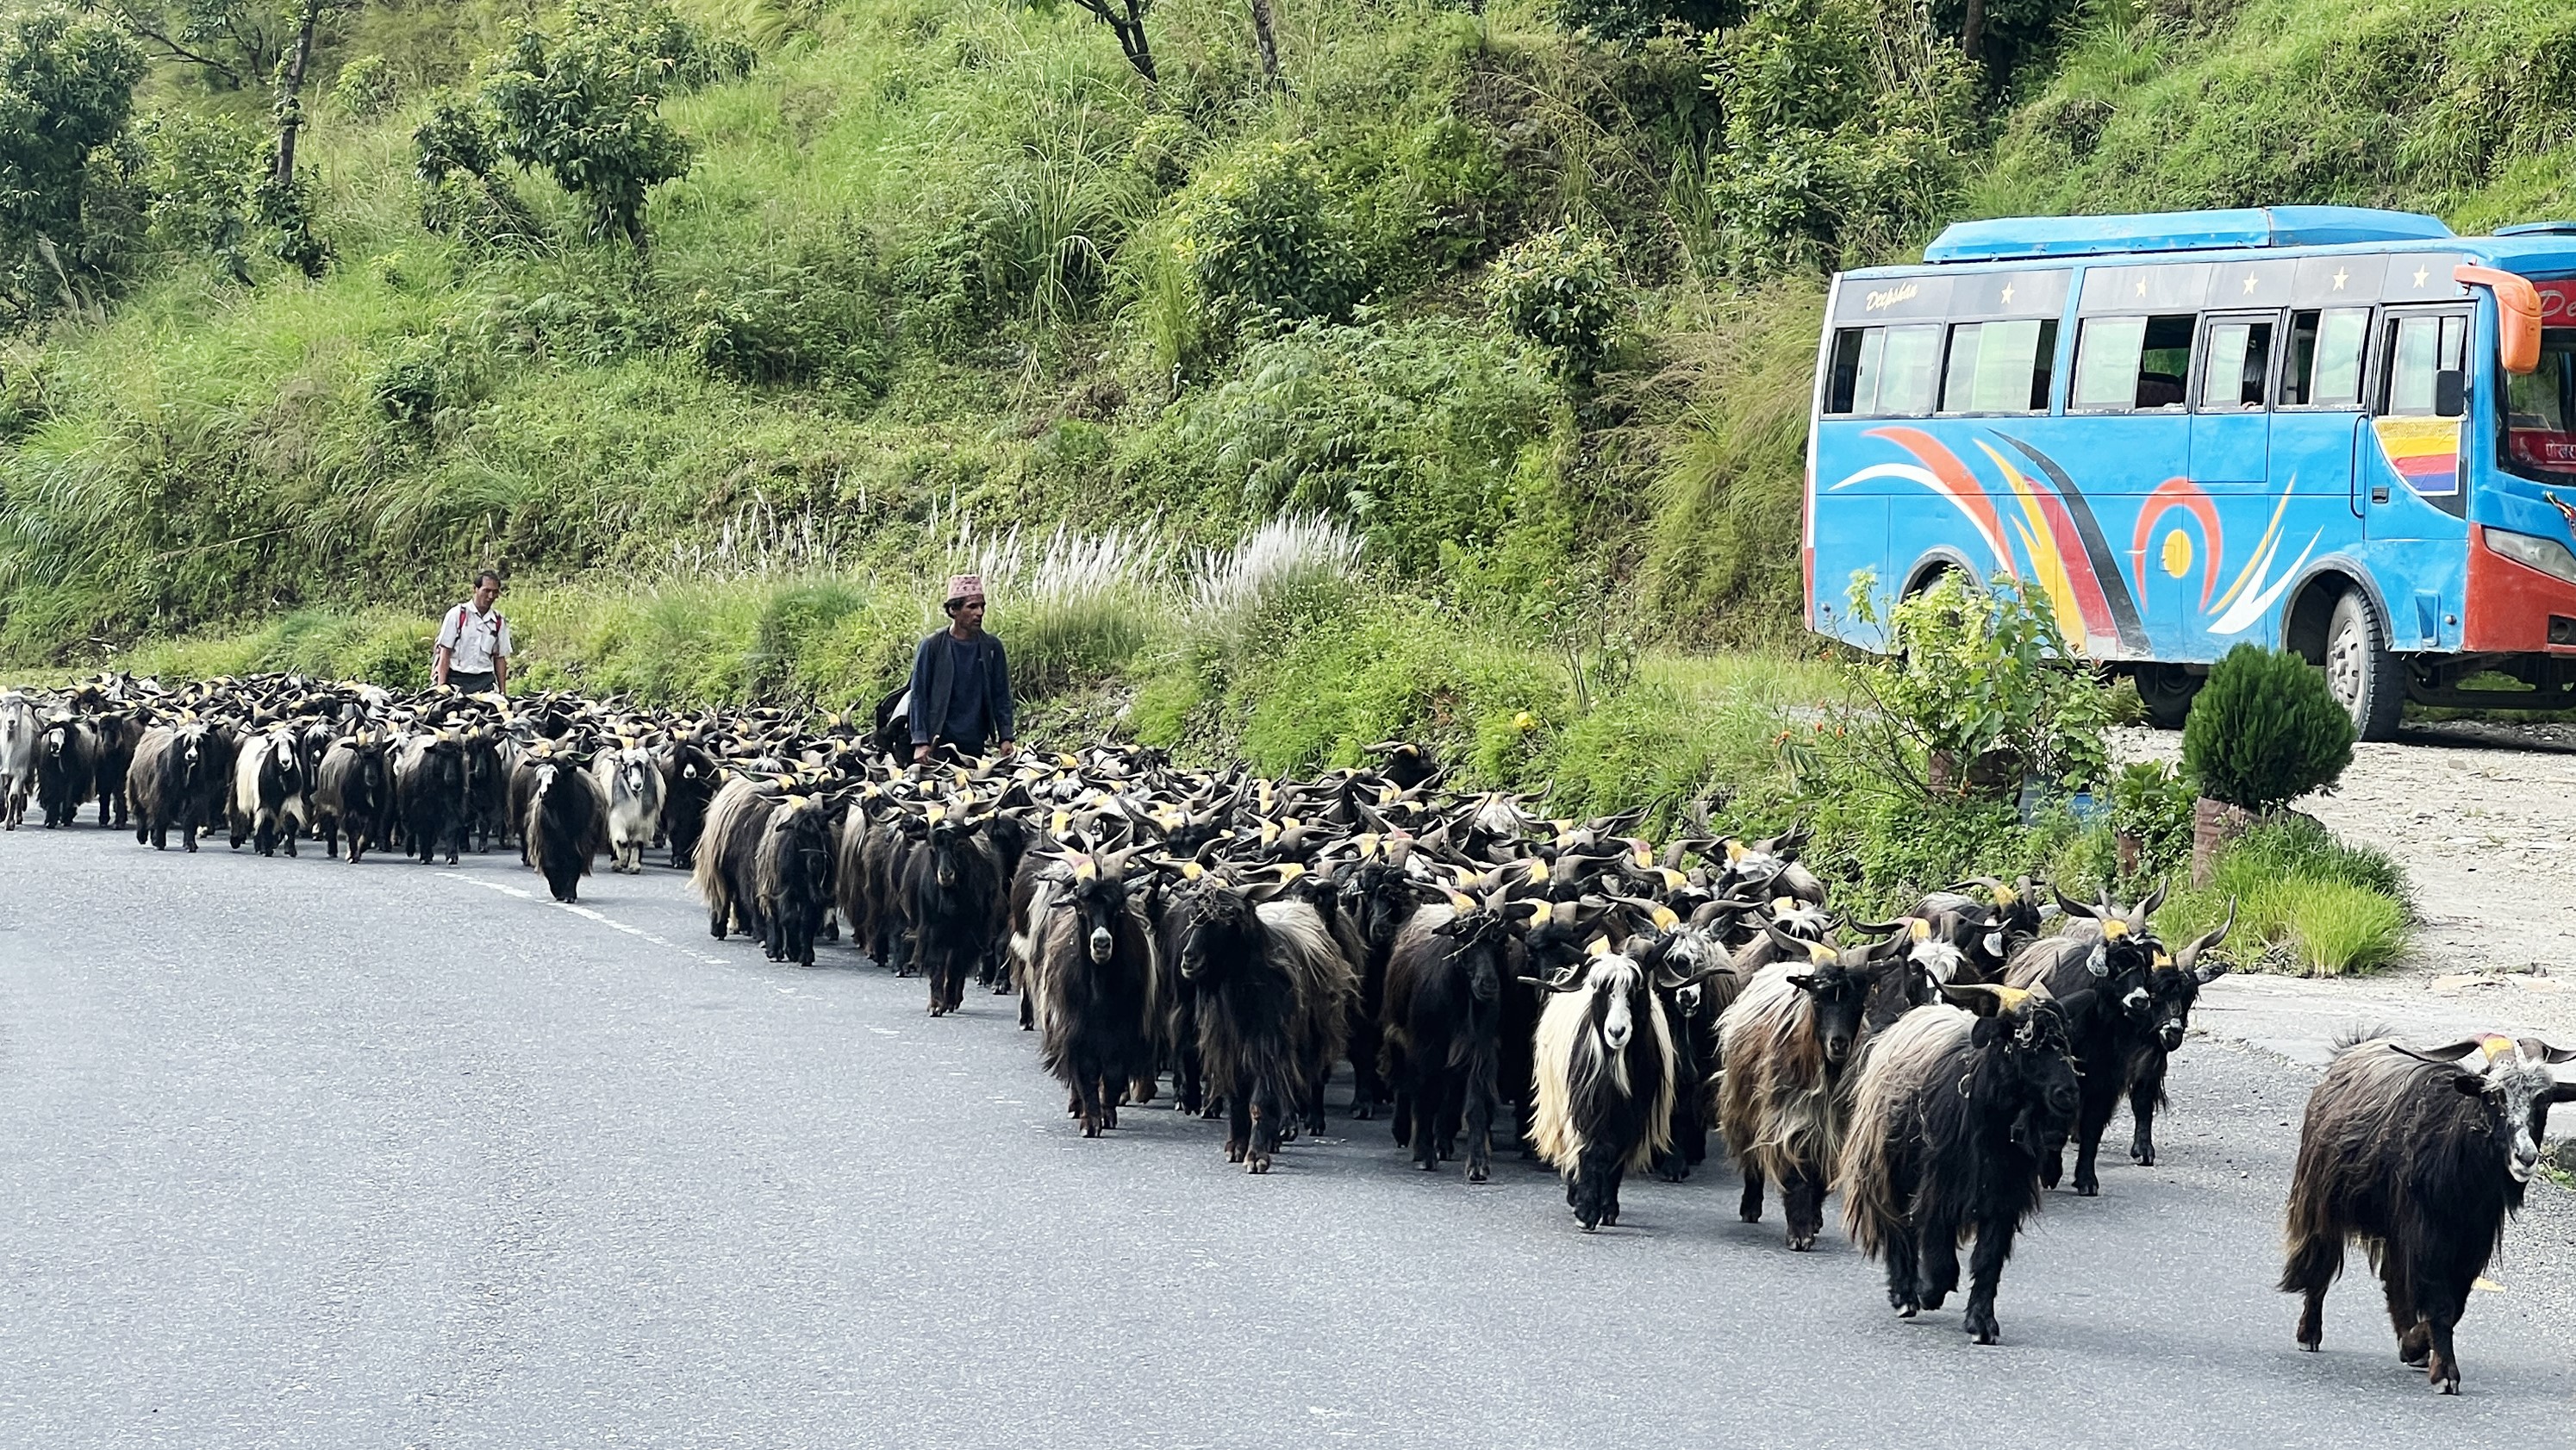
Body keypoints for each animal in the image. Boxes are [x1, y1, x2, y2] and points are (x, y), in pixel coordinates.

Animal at [1844, 989, 2081, 1349]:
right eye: (2027, 1047)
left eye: (2065, 1043)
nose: (2068, 1094)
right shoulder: (1939, 1187)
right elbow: (1940, 1257)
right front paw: (1927, 1292)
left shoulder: (2003, 1197)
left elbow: (1987, 1259)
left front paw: (1982, 1323)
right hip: (1889, 1168)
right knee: (1898, 1228)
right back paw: (1905, 1295)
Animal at [2287, 1030, 2566, 1391]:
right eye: (2494, 1098)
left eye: (2543, 1099)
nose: (2526, 1157)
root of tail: (2351, 1051)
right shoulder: (2425, 1234)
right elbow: (2440, 1304)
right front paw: (2444, 1373)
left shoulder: (2468, 1244)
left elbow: (2453, 1306)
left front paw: (2416, 1346)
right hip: (2321, 1198)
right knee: (2320, 1260)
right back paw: (2309, 1332)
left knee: (2393, 1279)